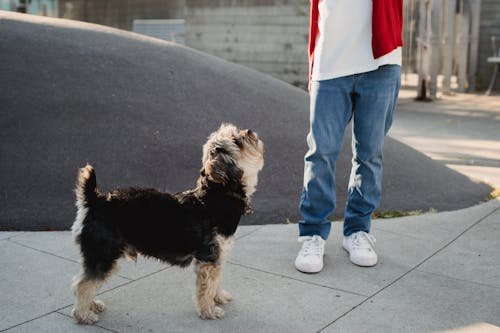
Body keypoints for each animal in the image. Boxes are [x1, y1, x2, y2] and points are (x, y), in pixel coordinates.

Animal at [71, 122, 266, 322]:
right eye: (237, 141)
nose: (250, 131)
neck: (217, 196)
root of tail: (94, 201)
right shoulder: (208, 258)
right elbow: (206, 288)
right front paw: (209, 311)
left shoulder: (217, 257)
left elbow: (215, 281)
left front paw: (218, 298)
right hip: (104, 253)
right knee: (82, 285)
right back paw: (84, 314)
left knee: (85, 281)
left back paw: (92, 305)